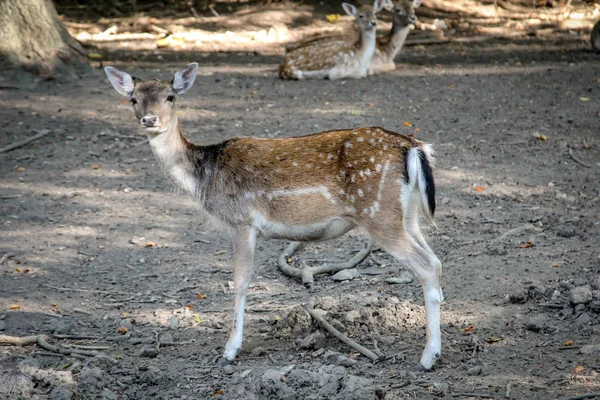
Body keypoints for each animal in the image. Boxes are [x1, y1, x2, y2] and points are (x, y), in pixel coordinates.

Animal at [104, 63, 446, 372]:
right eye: (133, 99)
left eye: (171, 96)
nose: (150, 119)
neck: (205, 177)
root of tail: (413, 148)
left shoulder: (241, 220)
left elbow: (240, 281)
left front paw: (229, 351)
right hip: (407, 215)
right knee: (437, 260)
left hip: (377, 213)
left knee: (427, 265)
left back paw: (428, 358)